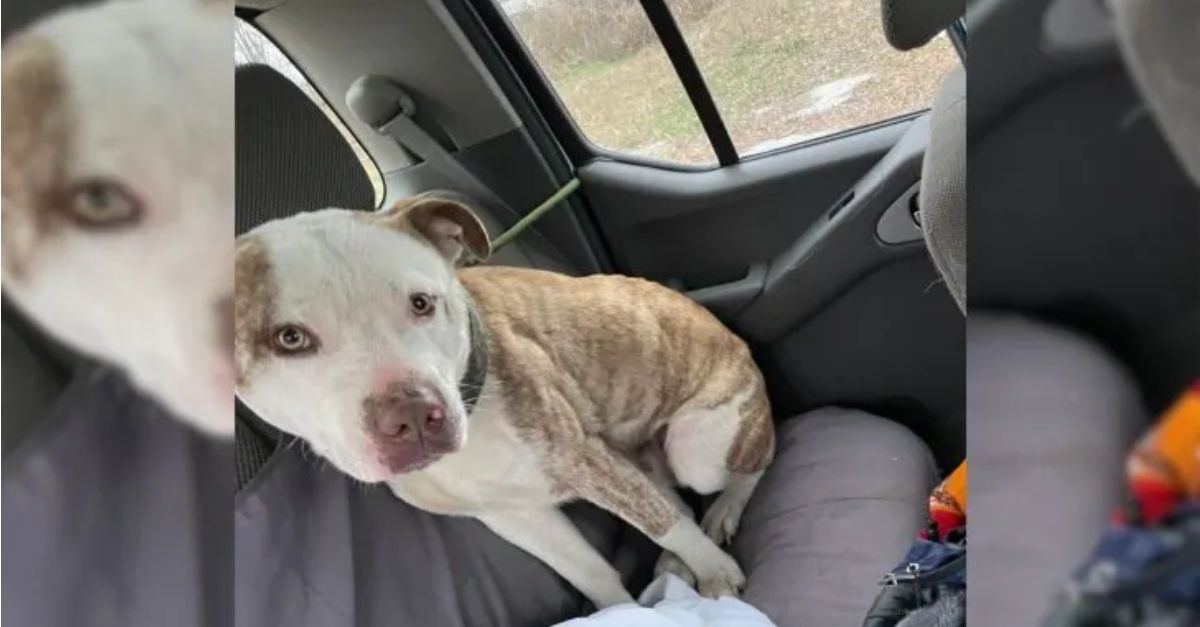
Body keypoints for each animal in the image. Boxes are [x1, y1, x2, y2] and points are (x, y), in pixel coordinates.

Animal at [234, 192, 777, 602]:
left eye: (422, 303)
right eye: (289, 339)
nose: (414, 415)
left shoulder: (583, 459)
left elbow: (664, 523)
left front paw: (716, 572)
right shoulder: (510, 515)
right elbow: (589, 570)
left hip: (698, 448)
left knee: (748, 464)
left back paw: (724, 511)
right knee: (676, 499)